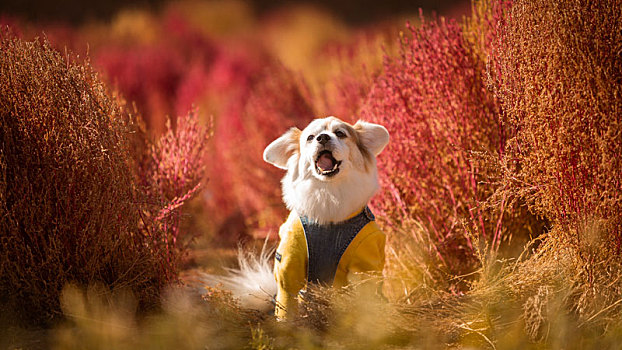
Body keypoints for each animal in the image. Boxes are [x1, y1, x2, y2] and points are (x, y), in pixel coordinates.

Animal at [202, 116, 390, 318]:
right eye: (310, 137)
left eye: (340, 133)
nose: (323, 137)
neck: (328, 193)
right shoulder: (288, 265)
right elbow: (286, 307)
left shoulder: (365, 269)